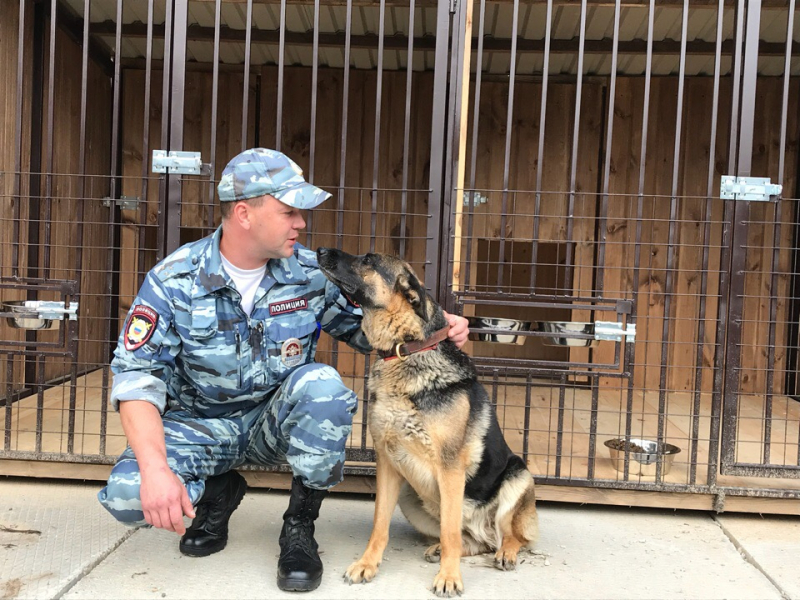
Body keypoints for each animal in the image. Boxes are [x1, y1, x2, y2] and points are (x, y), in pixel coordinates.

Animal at [314, 247, 536, 596]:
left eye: (368, 260)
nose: (320, 250)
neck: (405, 350)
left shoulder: (450, 467)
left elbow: (450, 532)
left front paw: (449, 577)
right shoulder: (387, 462)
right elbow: (380, 523)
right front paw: (367, 564)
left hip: (519, 476)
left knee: (512, 536)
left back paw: (506, 553)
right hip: (411, 497)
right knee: (475, 541)